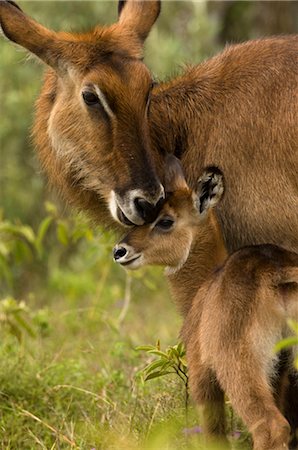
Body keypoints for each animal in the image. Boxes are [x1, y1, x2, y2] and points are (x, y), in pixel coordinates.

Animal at [113, 156, 298, 448]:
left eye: (165, 220)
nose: (119, 251)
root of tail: (277, 270)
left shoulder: (201, 374)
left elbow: (214, 433)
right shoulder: (279, 375)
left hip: (239, 368)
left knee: (271, 427)